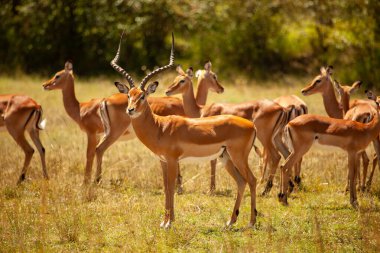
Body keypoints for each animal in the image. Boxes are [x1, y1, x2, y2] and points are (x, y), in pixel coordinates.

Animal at [110, 34, 258, 229]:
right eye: (129, 95)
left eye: (142, 96)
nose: (130, 110)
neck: (160, 127)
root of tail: (252, 125)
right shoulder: (163, 161)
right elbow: (166, 187)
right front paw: (164, 221)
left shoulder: (173, 160)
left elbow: (172, 187)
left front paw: (169, 223)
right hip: (226, 157)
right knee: (241, 182)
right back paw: (230, 221)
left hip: (238, 157)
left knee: (252, 180)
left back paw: (251, 222)